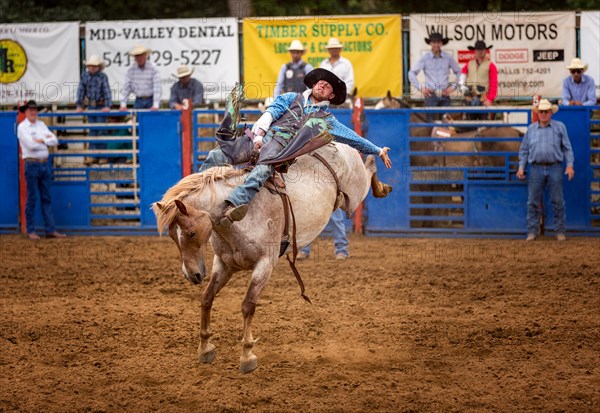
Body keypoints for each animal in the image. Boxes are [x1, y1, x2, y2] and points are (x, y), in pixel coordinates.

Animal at [152, 142, 392, 374]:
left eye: (191, 233)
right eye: (172, 235)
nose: (191, 274)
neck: (238, 214)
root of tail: (339, 144)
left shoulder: (265, 264)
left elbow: (248, 305)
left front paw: (247, 355)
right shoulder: (224, 264)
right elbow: (206, 298)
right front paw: (205, 348)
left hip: (354, 196)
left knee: (369, 166)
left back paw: (381, 182)